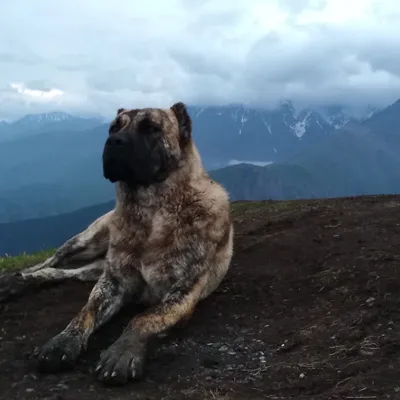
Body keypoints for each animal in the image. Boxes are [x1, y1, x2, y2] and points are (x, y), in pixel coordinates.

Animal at [0, 101, 234, 386]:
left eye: (151, 128)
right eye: (113, 127)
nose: (113, 141)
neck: (152, 211)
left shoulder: (182, 293)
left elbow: (143, 317)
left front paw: (121, 353)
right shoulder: (112, 283)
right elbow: (85, 312)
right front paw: (63, 342)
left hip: (96, 265)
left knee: (62, 272)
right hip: (88, 241)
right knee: (51, 261)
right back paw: (13, 281)